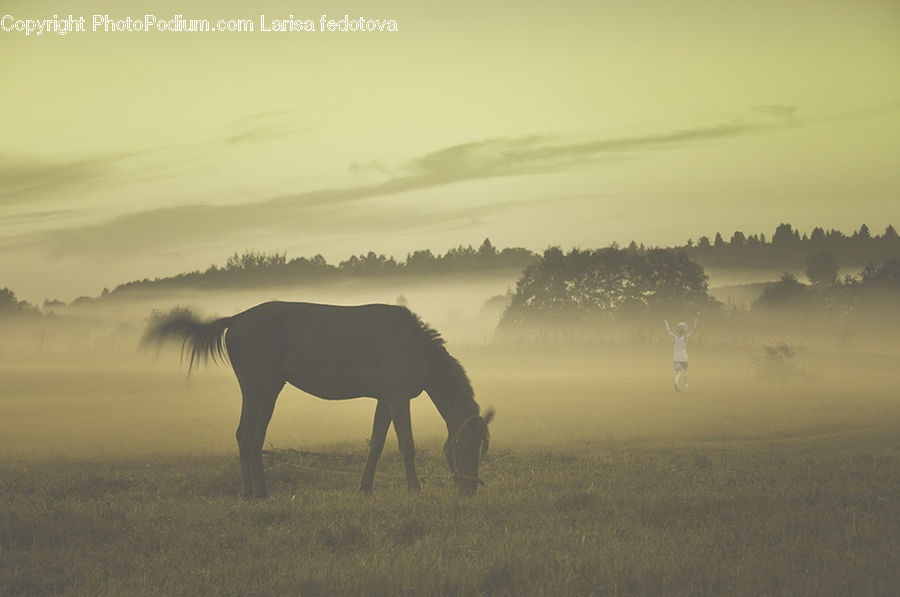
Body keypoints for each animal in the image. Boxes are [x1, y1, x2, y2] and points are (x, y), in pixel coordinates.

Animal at [142, 301, 493, 497]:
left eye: (481, 447)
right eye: (462, 446)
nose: (469, 490)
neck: (414, 345)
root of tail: (235, 319)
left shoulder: (385, 399)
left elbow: (376, 444)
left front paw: (365, 488)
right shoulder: (397, 397)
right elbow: (406, 445)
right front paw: (415, 489)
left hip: (270, 389)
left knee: (255, 437)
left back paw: (262, 491)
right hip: (256, 387)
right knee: (245, 435)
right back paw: (249, 492)